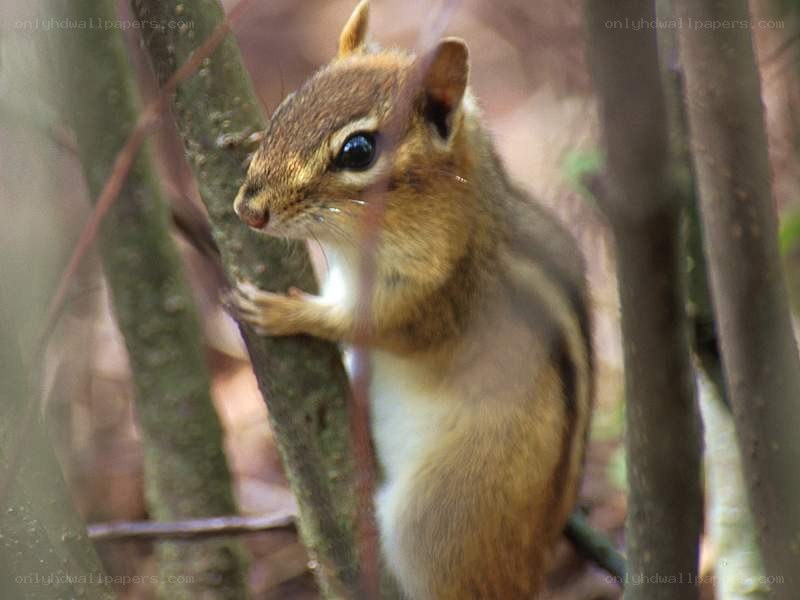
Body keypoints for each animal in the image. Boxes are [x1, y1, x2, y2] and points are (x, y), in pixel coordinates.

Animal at [230, 2, 593, 598]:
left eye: (357, 151)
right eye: (287, 106)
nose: (249, 211)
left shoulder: (435, 294)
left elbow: (371, 324)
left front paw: (286, 311)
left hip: (436, 513)